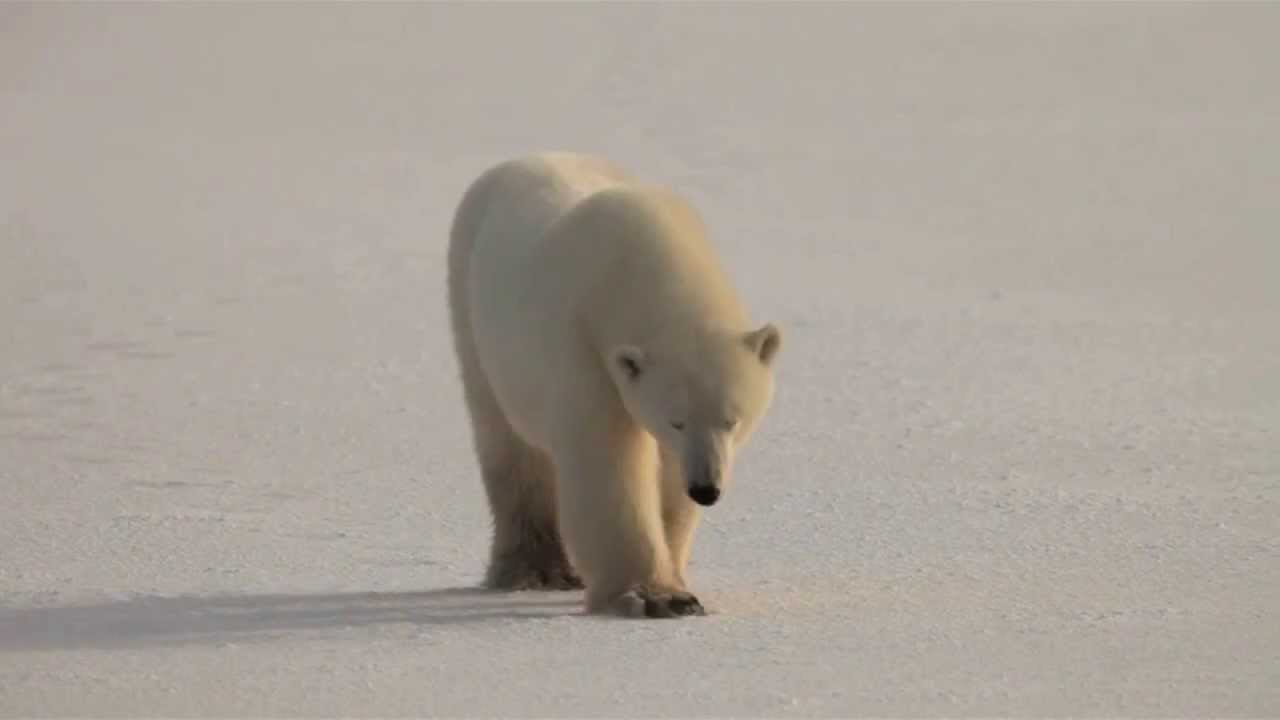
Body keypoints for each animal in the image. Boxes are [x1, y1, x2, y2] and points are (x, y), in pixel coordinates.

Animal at [446, 152, 781, 618]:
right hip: (473, 313)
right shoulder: (585, 344)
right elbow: (607, 460)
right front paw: (656, 596)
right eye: (676, 421)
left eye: (732, 420)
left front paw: (675, 576)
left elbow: (666, 479)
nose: (706, 489)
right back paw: (535, 569)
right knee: (509, 444)